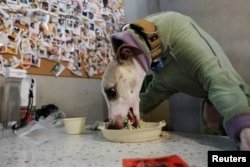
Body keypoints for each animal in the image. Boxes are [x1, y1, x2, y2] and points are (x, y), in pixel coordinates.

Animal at [101, 11, 250, 150]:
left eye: (111, 91)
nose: (112, 126)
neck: (155, 39)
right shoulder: (160, 87)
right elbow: (150, 96)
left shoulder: (209, 68)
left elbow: (217, 76)